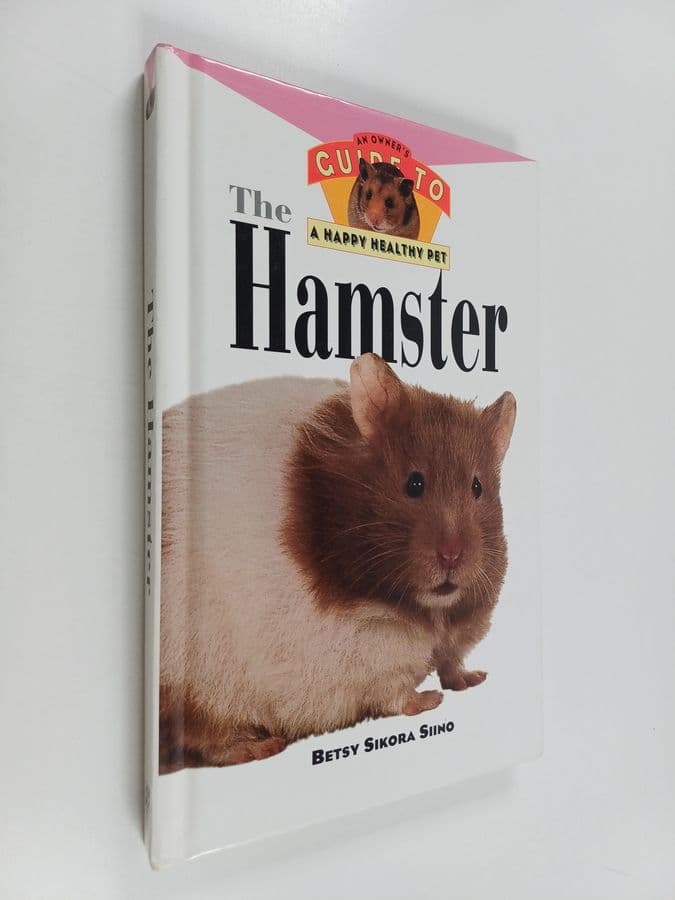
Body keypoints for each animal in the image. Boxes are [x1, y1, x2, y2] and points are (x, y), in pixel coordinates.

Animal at [159, 354, 516, 773]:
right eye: (414, 484)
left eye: (478, 487)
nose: (451, 556)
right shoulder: (367, 651)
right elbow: (394, 690)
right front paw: (430, 701)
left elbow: (451, 661)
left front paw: (473, 678)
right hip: (194, 681)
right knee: (205, 737)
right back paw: (260, 746)